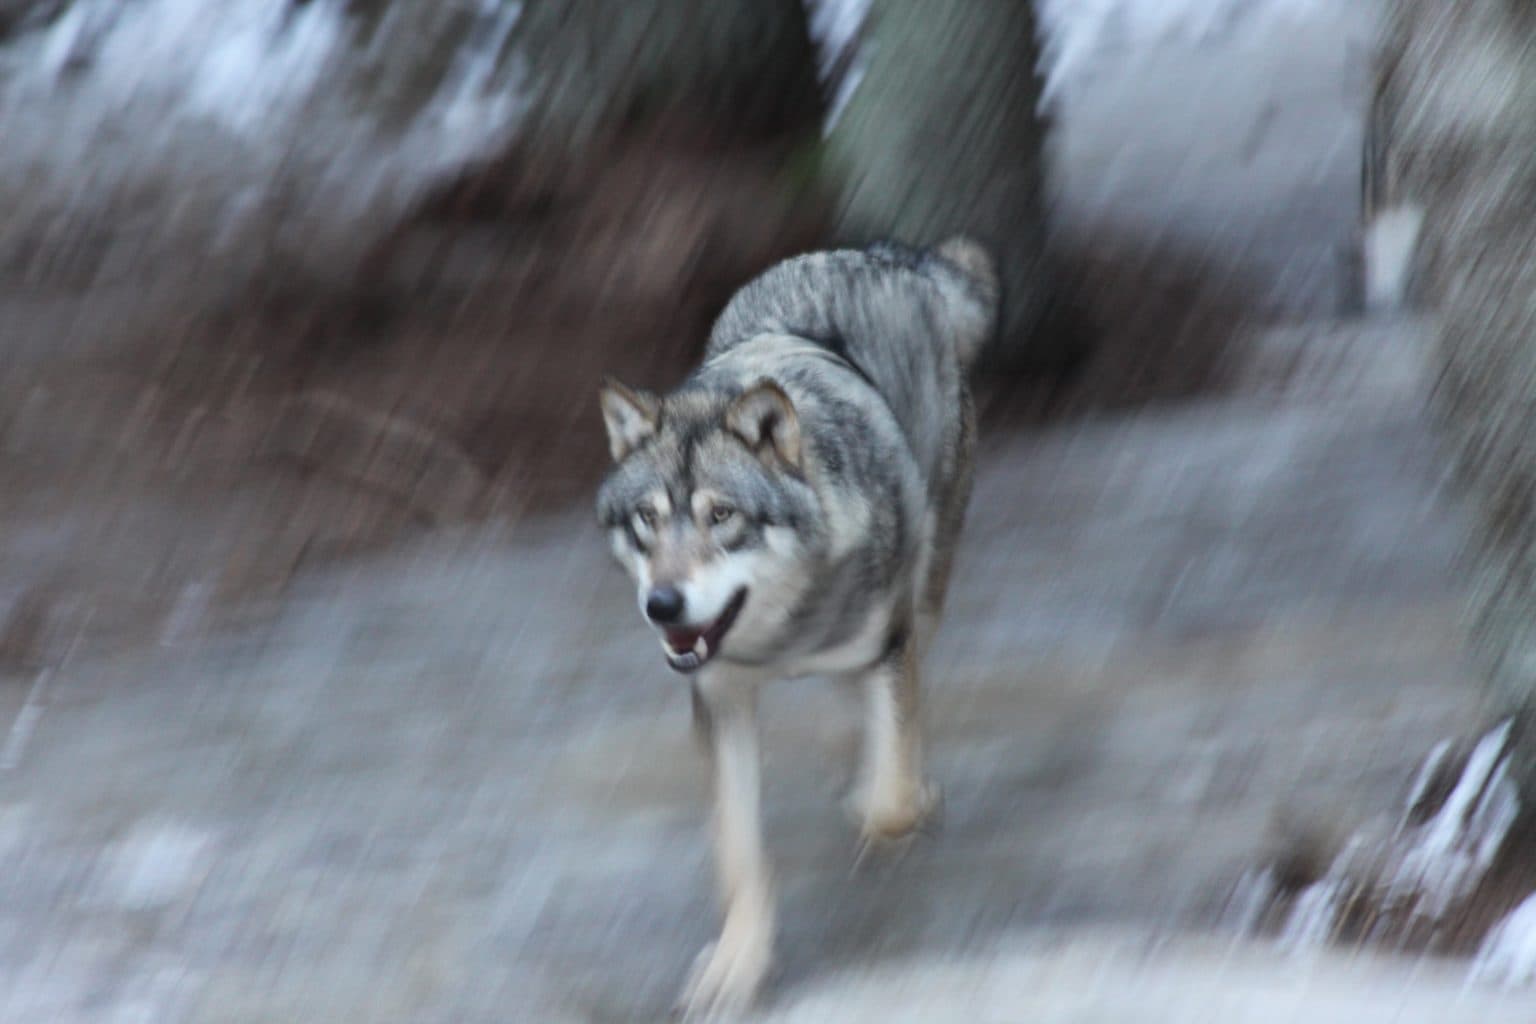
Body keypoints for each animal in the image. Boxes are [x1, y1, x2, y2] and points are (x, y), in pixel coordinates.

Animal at [596, 237, 1000, 1018]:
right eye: (648, 520)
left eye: (722, 517)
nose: (662, 605)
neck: (782, 637)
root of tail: (893, 255)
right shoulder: (719, 702)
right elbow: (739, 856)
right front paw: (737, 967)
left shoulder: (888, 643)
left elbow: (891, 796)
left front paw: (892, 808)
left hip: (923, 589)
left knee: (905, 697)